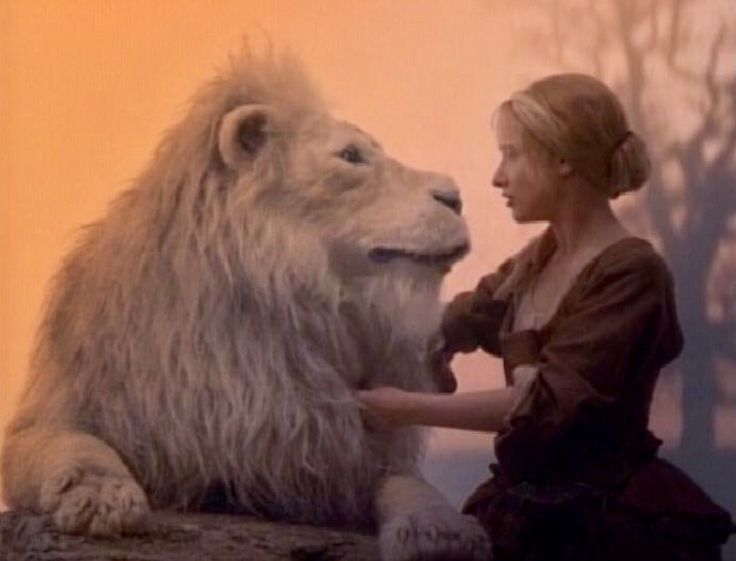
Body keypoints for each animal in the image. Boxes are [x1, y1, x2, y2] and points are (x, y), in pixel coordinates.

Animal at [2, 50, 492, 556]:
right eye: (351, 156)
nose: (455, 196)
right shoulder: (65, 408)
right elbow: (72, 446)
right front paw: (100, 494)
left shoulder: (340, 453)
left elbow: (408, 484)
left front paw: (439, 528)